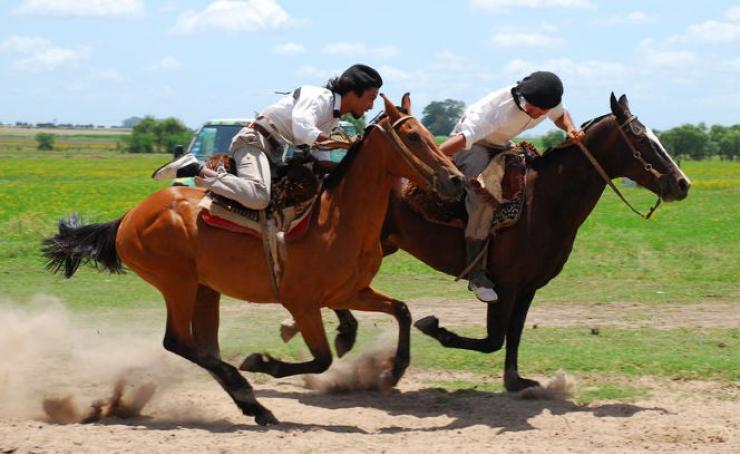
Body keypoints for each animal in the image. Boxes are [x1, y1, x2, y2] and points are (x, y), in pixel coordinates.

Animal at [42, 93, 462, 426]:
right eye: (413, 135)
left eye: (428, 132)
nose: (456, 180)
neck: (336, 217)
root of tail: (129, 217)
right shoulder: (303, 303)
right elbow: (322, 358)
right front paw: (262, 362)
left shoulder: (349, 292)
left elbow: (402, 311)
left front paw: (394, 371)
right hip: (176, 284)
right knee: (177, 341)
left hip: (205, 290)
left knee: (203, 347)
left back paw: (252, 404)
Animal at [320, 92, 692, 390]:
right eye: (641, 140)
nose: (682, 183)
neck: (545, 201)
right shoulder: (506, 285)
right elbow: (493, 339)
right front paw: (436, 328)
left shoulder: (528, 287)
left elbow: (513, 335)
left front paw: (516, 380)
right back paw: (346, 334)